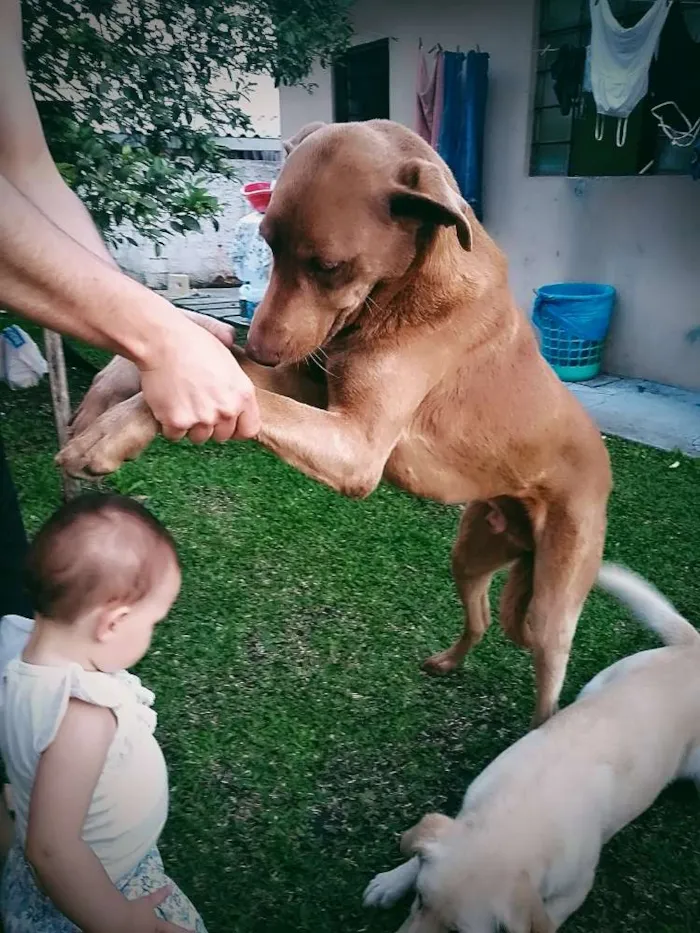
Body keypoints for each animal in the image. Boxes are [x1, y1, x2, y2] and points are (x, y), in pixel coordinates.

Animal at [58, 120, 608, 724]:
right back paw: (446, 662)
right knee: (481, 618)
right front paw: (107, 391)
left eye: (328, 266)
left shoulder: (357, 445)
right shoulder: (305, 380)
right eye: (268, 244)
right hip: (470, 551)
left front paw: (107, 437)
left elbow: (245, 393)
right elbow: (208, 353)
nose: (261, 347)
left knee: (548, 671)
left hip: (555, 599)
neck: (404, 290)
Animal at [364, 564, 700, 928]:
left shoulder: (575, 890)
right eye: (420, 899)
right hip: (598, 682)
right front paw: (391, 880)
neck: (519, 815)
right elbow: (423, 850)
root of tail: (693, 650)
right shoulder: (461, 821)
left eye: (458, 931)